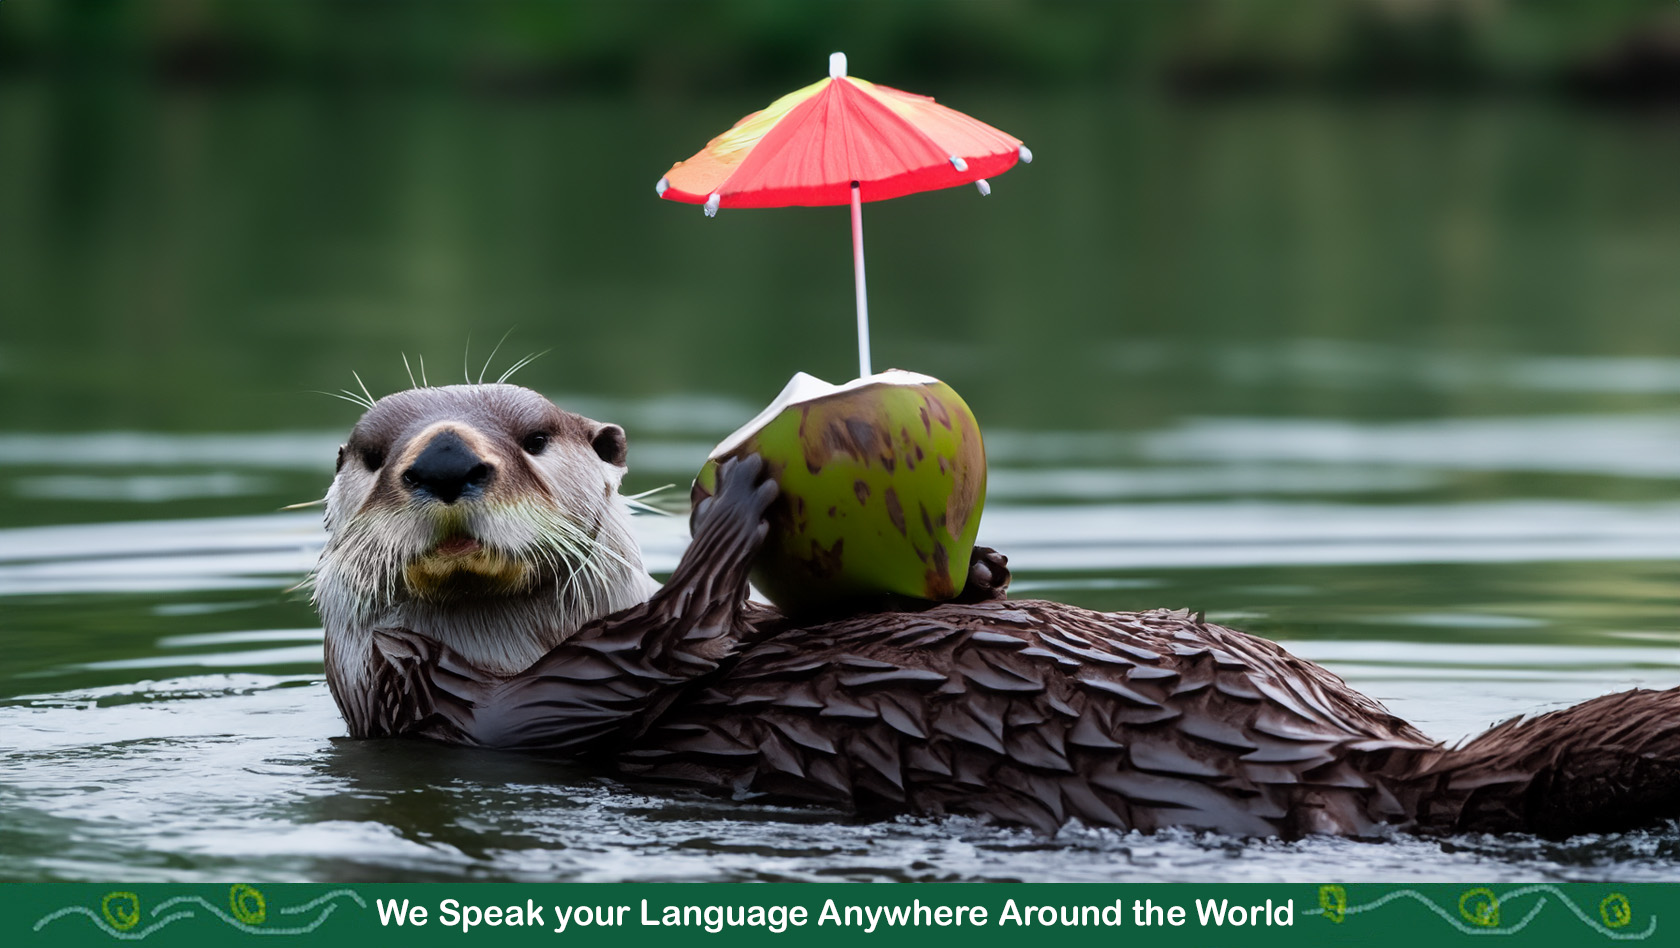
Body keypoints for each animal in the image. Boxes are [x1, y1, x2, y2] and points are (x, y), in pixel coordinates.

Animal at [314, 383, 1680, 839]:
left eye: (534, 435)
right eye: (370, 451)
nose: (446, 460)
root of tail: (1378, 753)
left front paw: (981, 571)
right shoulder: (453, 714)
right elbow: (605, 679)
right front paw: (732, 511)